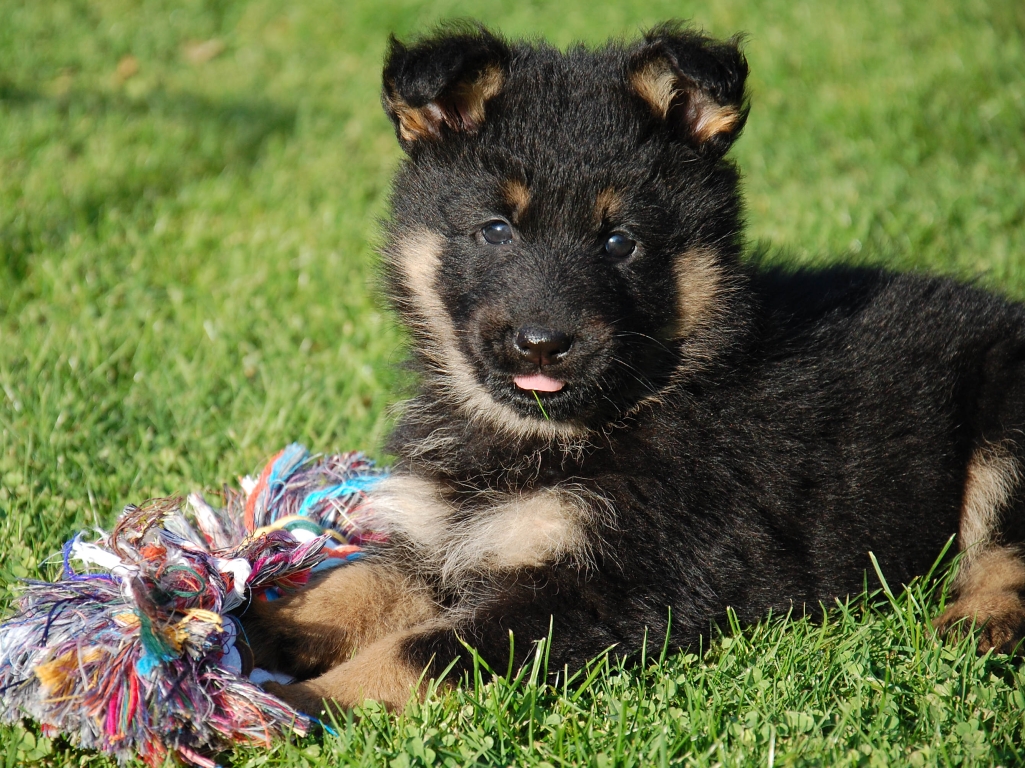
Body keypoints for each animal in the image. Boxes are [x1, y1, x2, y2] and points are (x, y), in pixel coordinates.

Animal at [240, 22, 1025, 714]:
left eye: (620, 241)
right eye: (495, 230)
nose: (542, 344)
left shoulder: (617, 582)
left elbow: (419, 652)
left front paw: (292, 710)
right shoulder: (447, 536)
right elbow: (361, 583)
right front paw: (246, 622)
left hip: (1007, 414)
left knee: (1005, 548)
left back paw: (978, 623)